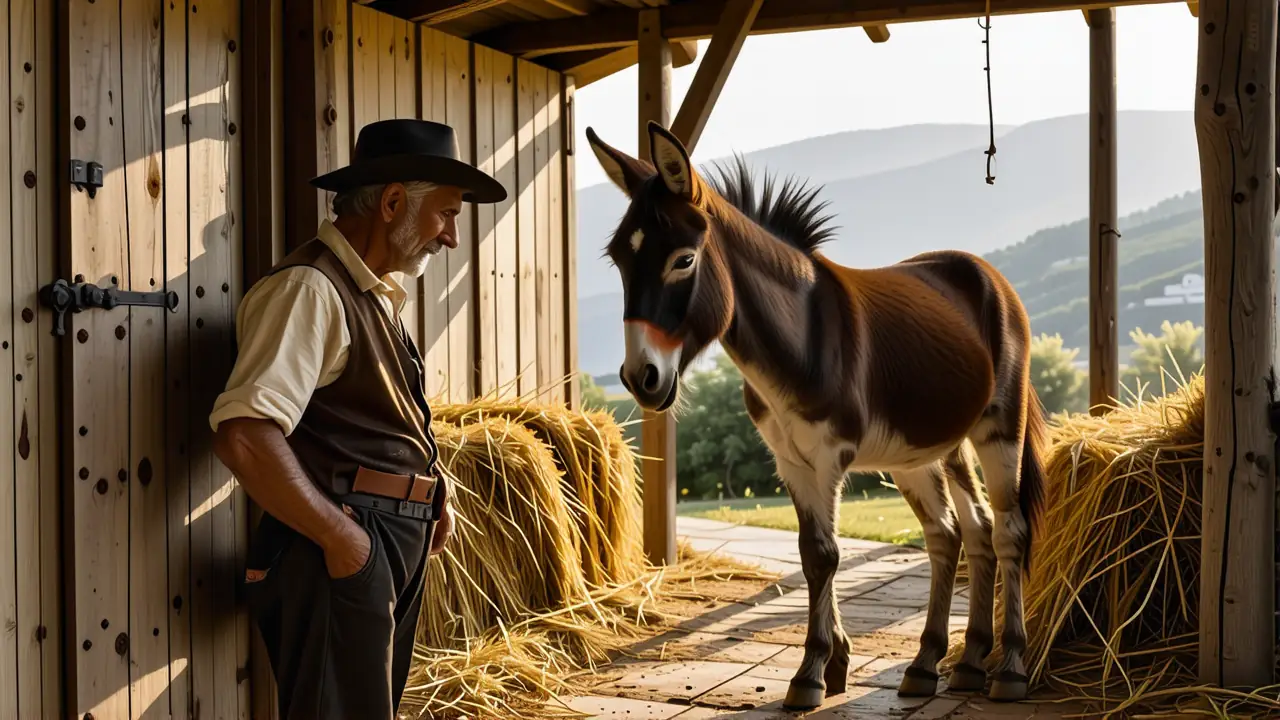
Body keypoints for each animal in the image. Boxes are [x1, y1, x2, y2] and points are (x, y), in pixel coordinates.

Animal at [584, 121, 1047, 710]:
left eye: (683, 260)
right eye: (619, 261)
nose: (639, 378)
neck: (797, 340)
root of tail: (980, 267)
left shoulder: (829, 457)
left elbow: (826, 556)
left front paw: (810, 673)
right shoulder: (792, 461)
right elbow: (810, 554)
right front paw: (835, 664)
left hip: (998, 426)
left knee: (1009, 531)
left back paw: (1008, 668)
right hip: (926, 448)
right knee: (959, 532)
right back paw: (944, 665)